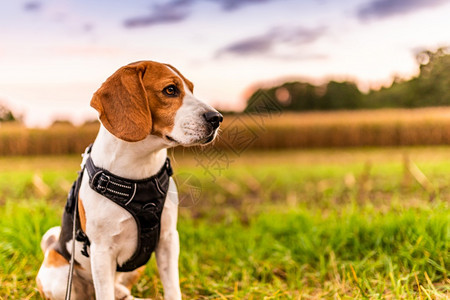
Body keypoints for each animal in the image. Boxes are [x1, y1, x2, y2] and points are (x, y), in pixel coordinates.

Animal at [36, 59, 222, 298]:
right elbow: (105, 294)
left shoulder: (168, 240)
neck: (140, 170)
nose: (217, 118)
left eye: (191, 88)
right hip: (60, 279)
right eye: (170, 90)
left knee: (120, 291)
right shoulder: (102, 252)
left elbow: (172, 289)